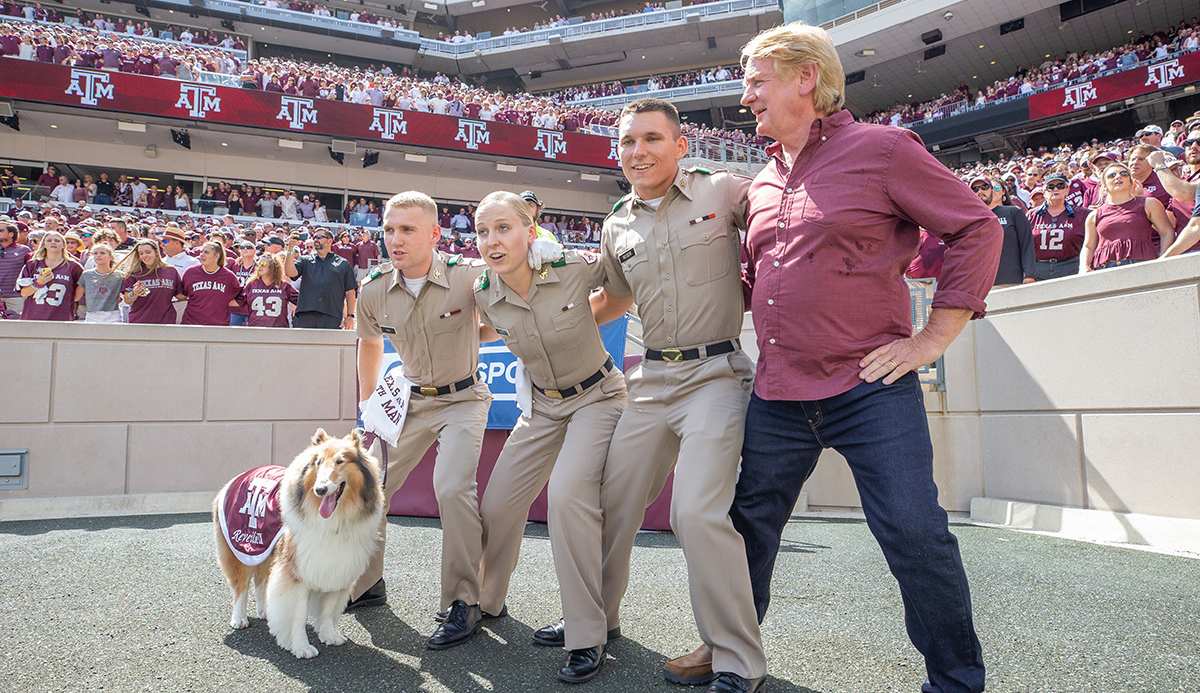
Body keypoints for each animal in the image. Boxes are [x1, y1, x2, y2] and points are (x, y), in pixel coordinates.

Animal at [213, 426, 384, 657]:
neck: (335, 518)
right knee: (241, 586)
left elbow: (327, 610)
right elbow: (299, 614)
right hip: (240, 548)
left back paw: (264, 610)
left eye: (341, 461)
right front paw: (301, 647)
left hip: (263, 548)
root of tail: (239, 476)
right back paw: (239, 618)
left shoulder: (336, 566)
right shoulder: (296, 571)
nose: (320, 490)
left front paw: (329, 635)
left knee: (260, 582)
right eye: (318, 462)